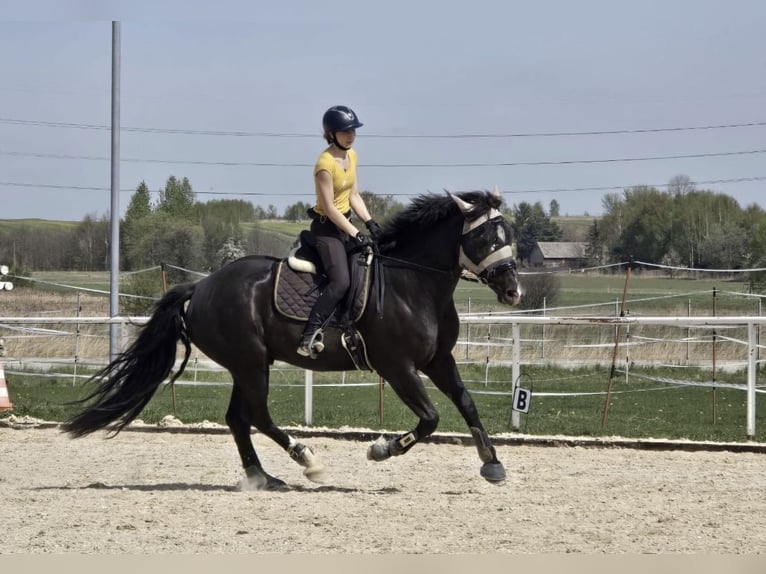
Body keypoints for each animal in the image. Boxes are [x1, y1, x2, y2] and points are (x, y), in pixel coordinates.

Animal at [64, 191, 520, 492]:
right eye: (485, 238)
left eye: (509, 235)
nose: (514, 291)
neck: (412, 283)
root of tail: (202, 286)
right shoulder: (398, 367)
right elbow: (430, 419)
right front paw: (381, 449)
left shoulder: (437, 360)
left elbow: (466, 403)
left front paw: (492, 463)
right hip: (249, 363)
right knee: (257, 416)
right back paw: (307, 460)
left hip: (249, 364)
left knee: (238, 418)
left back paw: (262, 477)